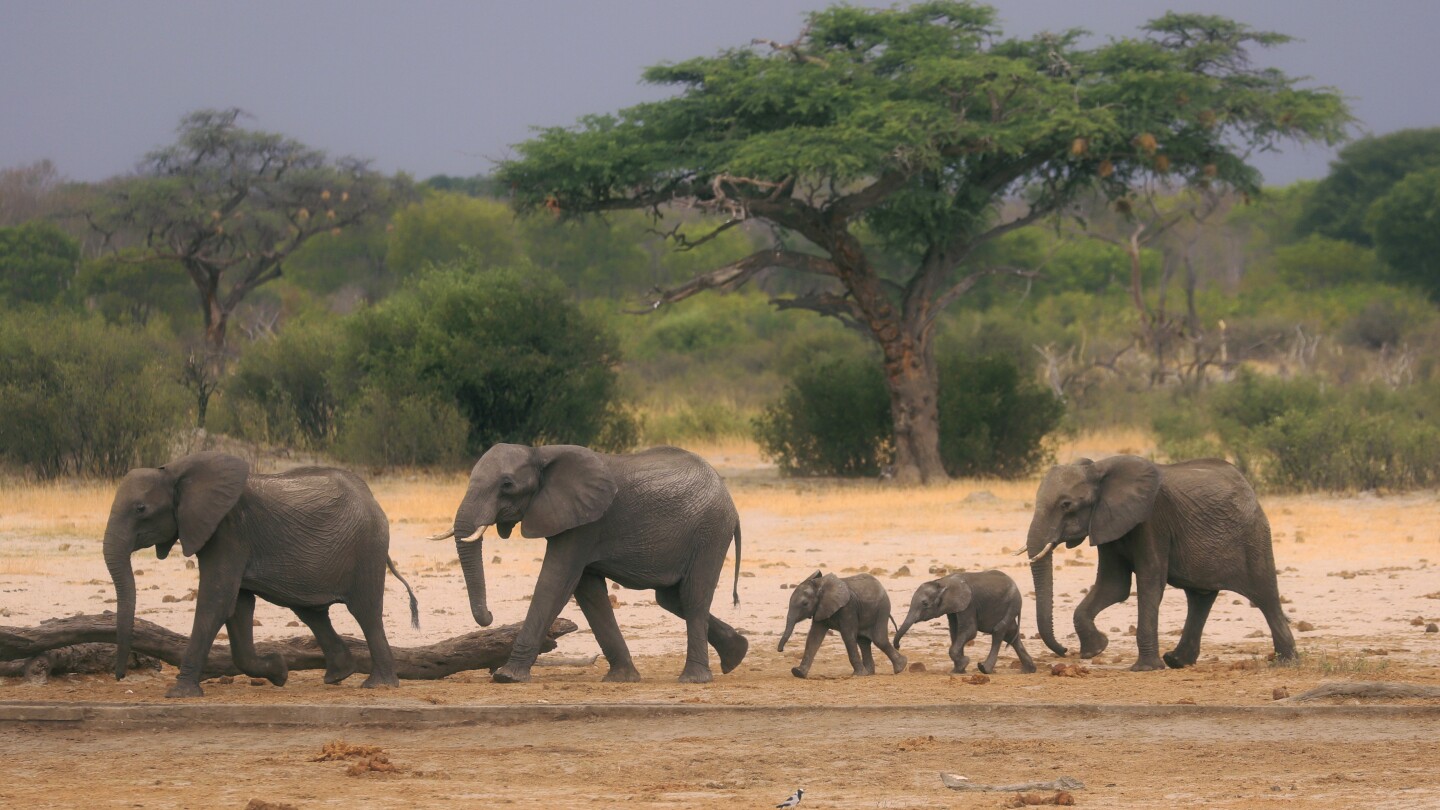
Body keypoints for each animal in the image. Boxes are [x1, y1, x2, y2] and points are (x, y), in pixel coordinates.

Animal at [100, 449, 417, 697]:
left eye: (141, 509)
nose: (120, 676)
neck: (176, 471)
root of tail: (372, 498)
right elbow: (238, 606)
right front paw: (279, 671)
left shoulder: (228, 531)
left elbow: (216, 601)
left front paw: (179, 693)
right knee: (311, 612)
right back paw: (338, 675)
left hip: (368, 548)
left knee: (365, 612)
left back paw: (379, 685)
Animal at [440, 441, 748, 680]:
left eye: (507, 485)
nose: (489, 617)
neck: (540, 452)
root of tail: (730, 502)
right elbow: (589, 593)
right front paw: (622, 678)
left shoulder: (585, 525)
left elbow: (555, 582)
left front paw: (508, 677)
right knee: (671, 598)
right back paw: (736, 654)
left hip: (710, 532)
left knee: (693, 597)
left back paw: (693, 679)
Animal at [887, 567, 1036, 674]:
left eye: (924, 603)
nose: (898, 646)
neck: (942, 582)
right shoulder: (953, 608)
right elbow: (955, 631)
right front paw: (958, 670)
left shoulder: (968, 604)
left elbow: (969, 631)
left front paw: (964, 663)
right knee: (1011, 634)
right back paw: (1029, 670)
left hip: (1013, 603)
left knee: (999, 630)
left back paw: (984, 669)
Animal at [1025, 455, 1296, 668]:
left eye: (1066, 505)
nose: (1064, 651)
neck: (1099, 469)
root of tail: (1247, 485)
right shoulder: (1107, 523)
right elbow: (1114, 586)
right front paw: (1097, 649)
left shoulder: (1151, 520)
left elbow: (1149, 581)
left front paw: (1144, 668)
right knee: (1200, 598)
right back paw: (1176, 661)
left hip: (1253, 535)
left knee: (1265, 594)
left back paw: (1286, 661)